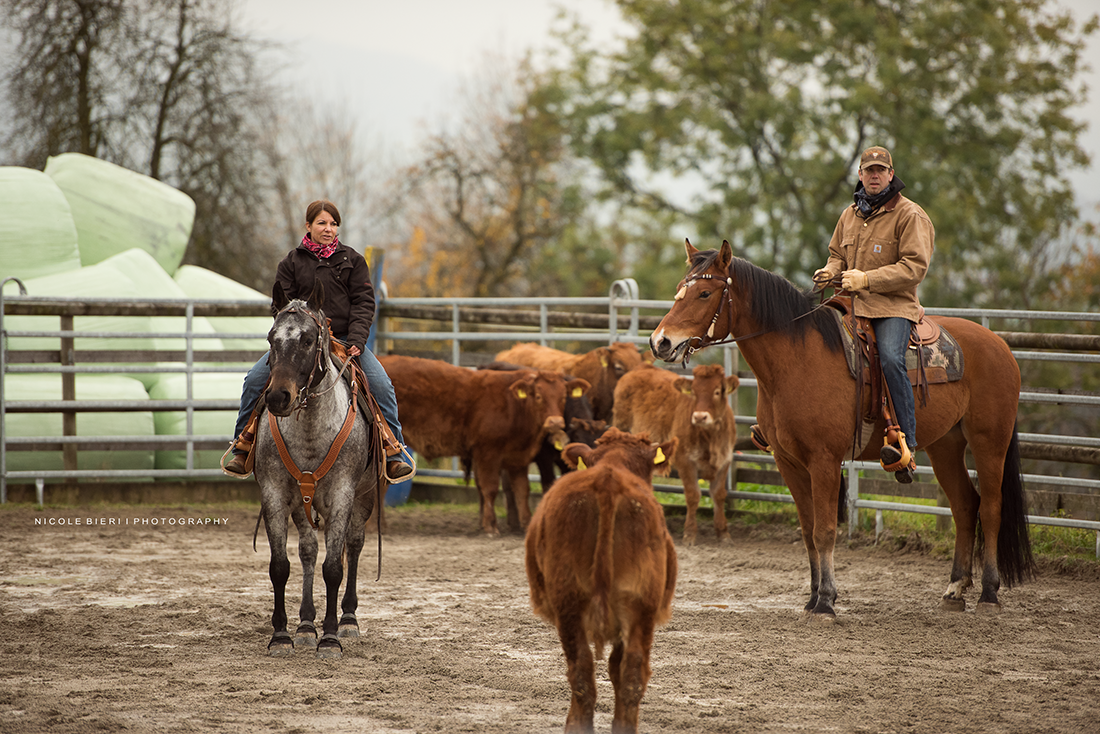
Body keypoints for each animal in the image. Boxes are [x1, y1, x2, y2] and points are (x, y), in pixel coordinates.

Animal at [254, 282, 379, 657]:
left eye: (308, 339)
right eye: (271, 338)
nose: (278, 397)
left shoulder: (342, 495)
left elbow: (334, 568)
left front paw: (331, 637)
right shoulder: (274, 494)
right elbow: (281, 566)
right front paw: (282, 635)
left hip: (365, 498)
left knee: (354, 545)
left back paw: (348, 619)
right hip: (301, 505)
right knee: (308, 551)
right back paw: (306, 624)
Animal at [650, 239, 1034, 620]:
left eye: (704, 293)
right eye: (679, 290)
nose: (660, 342)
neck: (797, 361)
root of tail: (999, 345)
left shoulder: (824, 461)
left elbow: (824, 531)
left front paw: (825, 602)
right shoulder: (788, 463)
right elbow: (808, 531)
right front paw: (812, 598)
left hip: (989, 442)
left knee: (991, 508)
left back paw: (988, 593)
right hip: (945, 446)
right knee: (965, 506)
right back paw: (954, 590)